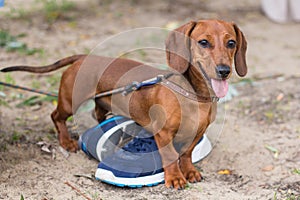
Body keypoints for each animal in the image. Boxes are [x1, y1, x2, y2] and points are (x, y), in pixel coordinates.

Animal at [1, 19, 246, 188]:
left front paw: (189, 171)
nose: (224, 71)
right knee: (56, 116)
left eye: (231, 43)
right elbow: (169, 156)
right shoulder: (163, 133)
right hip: (70, 101)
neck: (194, 95)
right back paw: (66, 141)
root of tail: (83, 57)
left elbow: (186, 154)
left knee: (97, 116)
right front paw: (175, 178)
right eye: (203, 42)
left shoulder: (197, 133)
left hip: (103, 102)